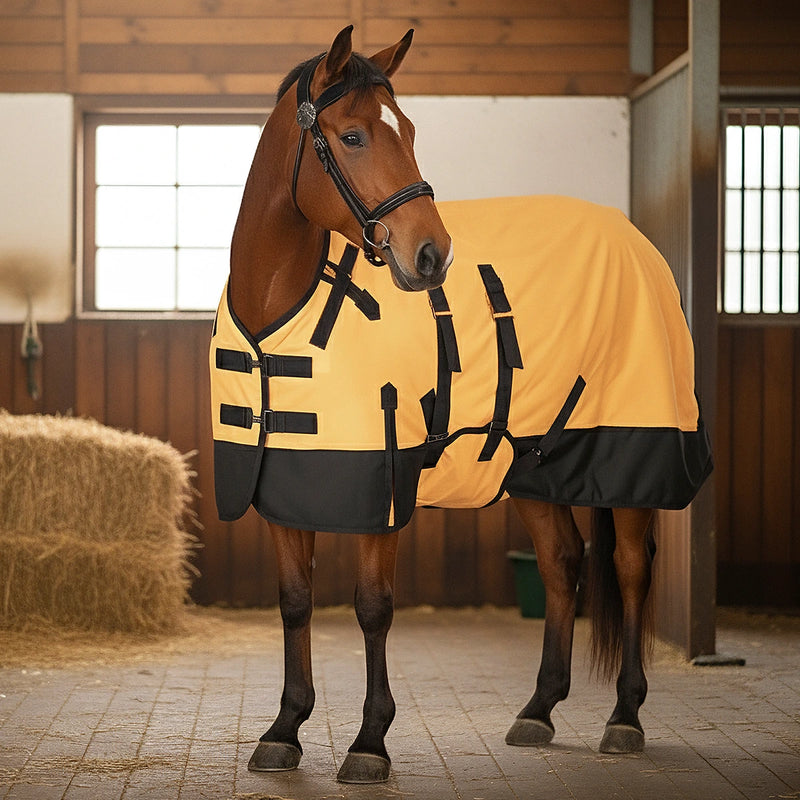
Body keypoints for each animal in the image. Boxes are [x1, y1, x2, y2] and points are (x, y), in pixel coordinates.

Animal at [210, 26, 713, 784]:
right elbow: (296, 603)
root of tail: (637, 243)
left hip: (630, 449)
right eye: (352, 135)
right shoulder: (284, 485)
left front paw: (369, 742)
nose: (431, 255)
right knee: (563, 562)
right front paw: (285, 729)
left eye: (409, 130)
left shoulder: (382, 479)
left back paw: (625, 716)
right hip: (534, 461)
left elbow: (373, 608)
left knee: (629, 568)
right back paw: (539, 710)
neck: (279, 312)